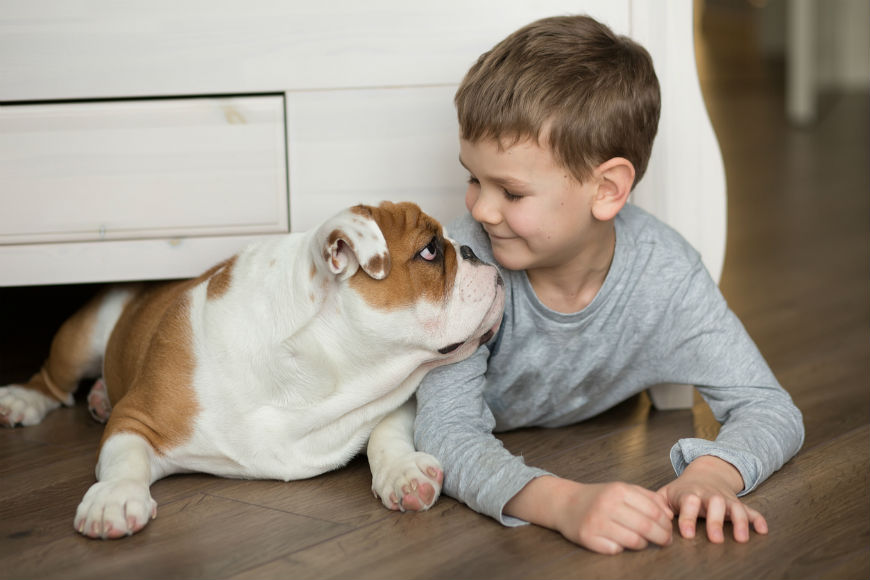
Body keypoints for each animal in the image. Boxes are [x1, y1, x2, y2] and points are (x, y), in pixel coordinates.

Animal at [0, 203, 504, 540]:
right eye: (431, 250)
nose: (474, 250)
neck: (319, 373)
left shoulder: (398, 396)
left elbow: (387, 430)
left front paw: (402, 473)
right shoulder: (137, 418)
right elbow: (125, 457)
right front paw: (114, 498)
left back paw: (99, 396)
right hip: (85, 335)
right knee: (53, 380)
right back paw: (25, 399)